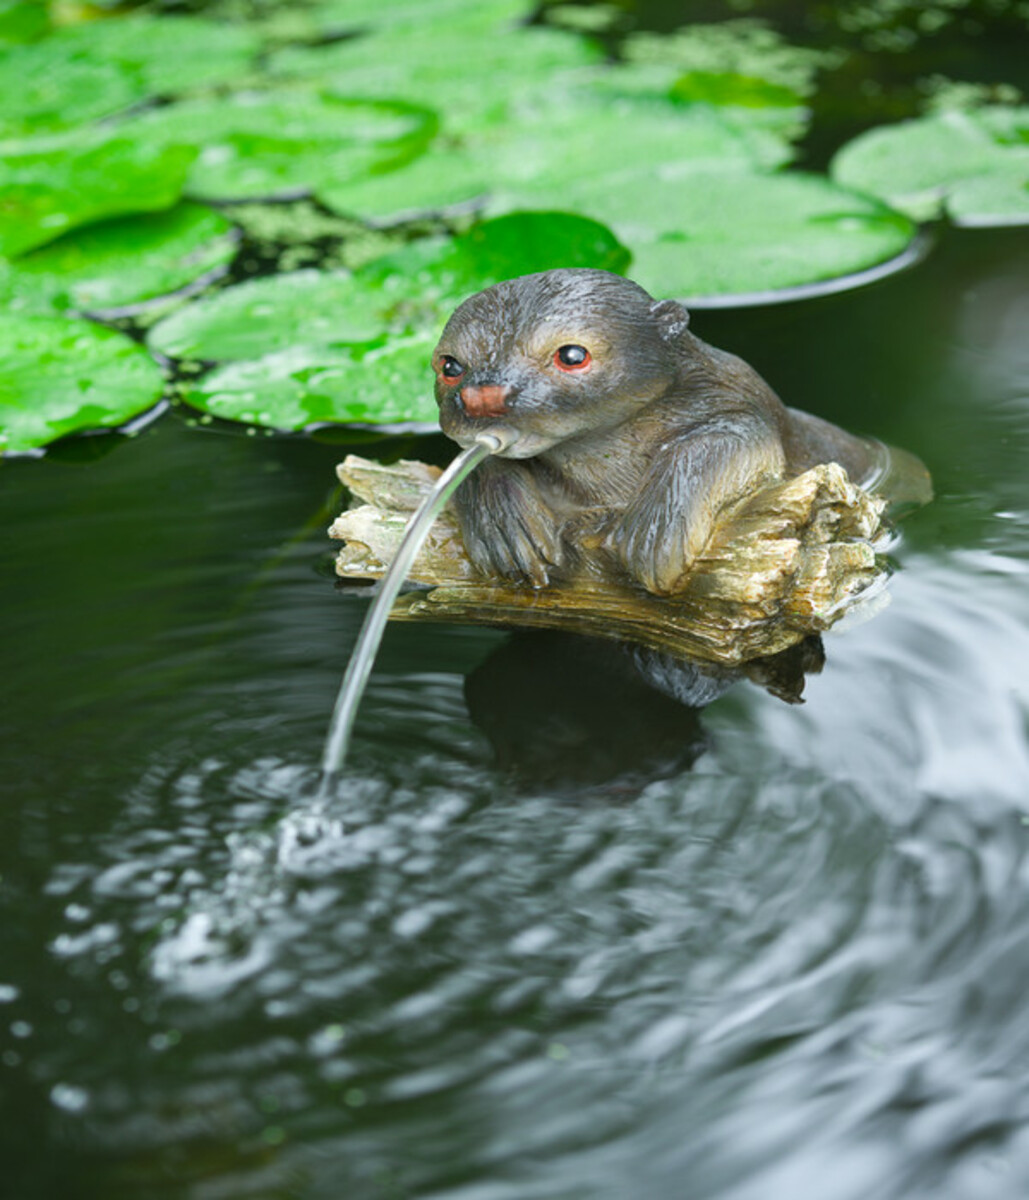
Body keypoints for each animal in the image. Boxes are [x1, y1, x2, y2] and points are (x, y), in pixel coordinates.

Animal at [432, 268, 886, 595]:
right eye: (450, 366)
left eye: (572, 355)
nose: (483, 396)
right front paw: (502, 519)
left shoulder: (746, 405)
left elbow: (724, 437)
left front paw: (657, 528)